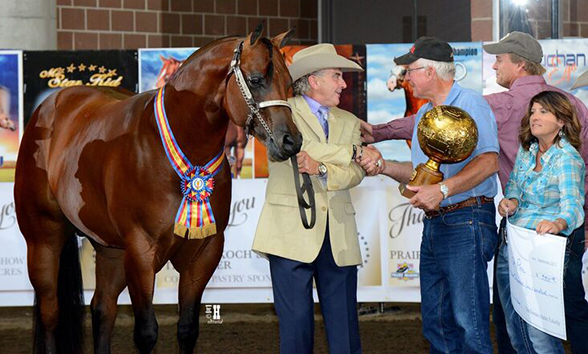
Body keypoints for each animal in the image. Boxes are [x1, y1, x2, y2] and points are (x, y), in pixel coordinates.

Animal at [15, 23, 300, 352]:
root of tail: (51, 106)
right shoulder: (141, 252)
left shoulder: (203, 254)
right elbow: (147, 332)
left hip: (110, 249)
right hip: (44, 240)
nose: (291, 141)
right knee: (50, 313)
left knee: (102, 308)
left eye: (290, 84)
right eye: (255, 80)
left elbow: (187, 329)